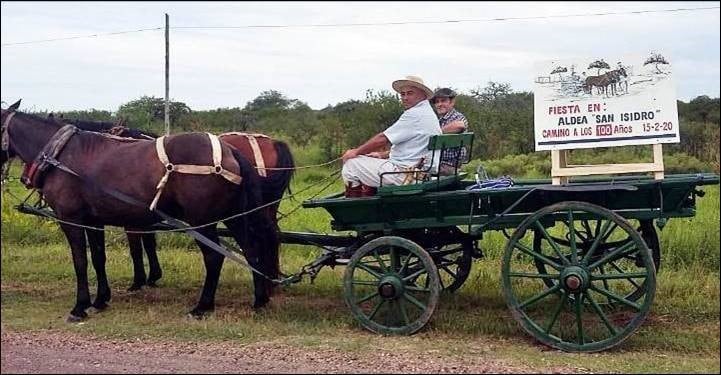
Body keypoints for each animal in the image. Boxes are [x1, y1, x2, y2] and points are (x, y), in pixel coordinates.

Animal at [1, 100, 280, 324]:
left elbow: (80, 261)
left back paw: (202, 307)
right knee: (251, 250)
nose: (24, 179)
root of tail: (231, 150)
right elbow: (98, 258)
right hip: (234, 218)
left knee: (214, 257)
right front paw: (100, 300)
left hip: (202, 221)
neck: (61, 155)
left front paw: (79, 307)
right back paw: (259, 300)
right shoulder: (94, 221)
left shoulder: (71, 220)